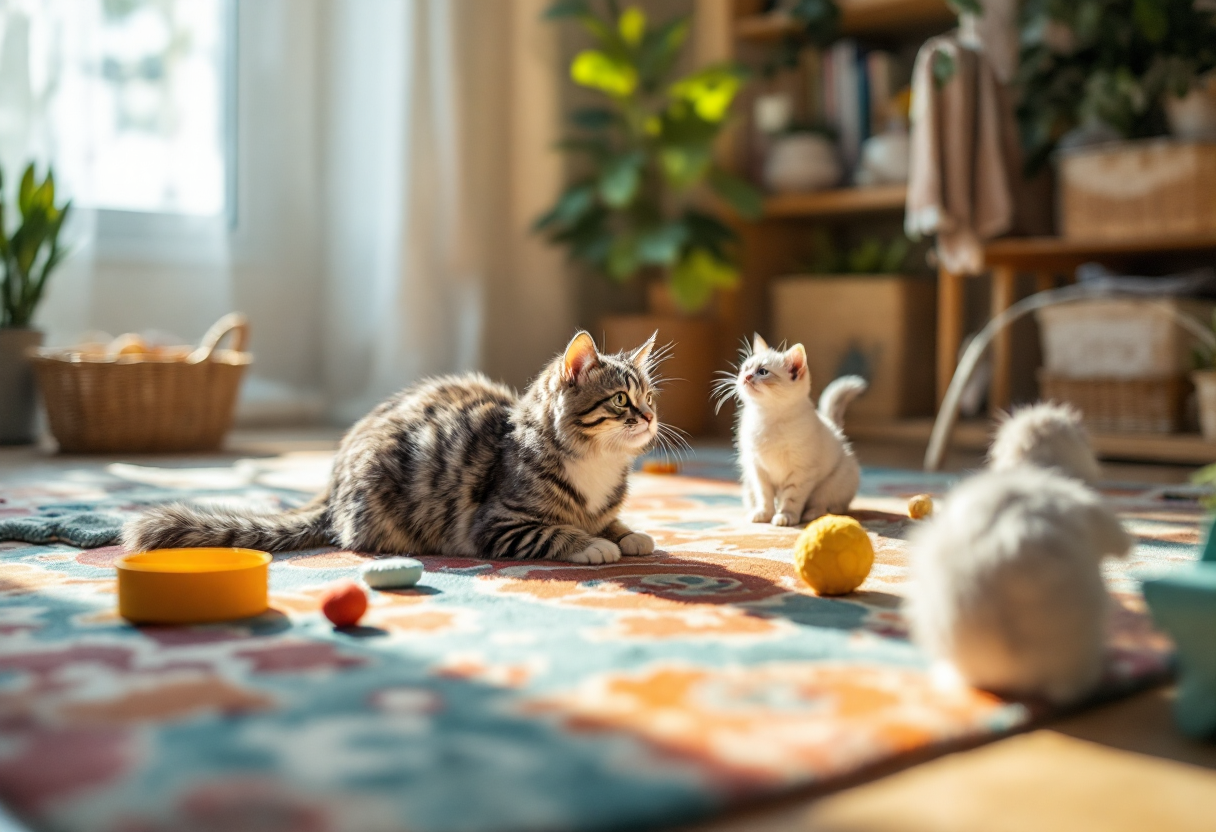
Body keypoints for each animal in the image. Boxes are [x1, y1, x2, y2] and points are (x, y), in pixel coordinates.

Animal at [123, 330, 666, 564]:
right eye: (621, 400)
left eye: (649, 397)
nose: (650, 417)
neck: (597, 464)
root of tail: (332, 491)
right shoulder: (500, 524)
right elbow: (557, 532)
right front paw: (591, 545)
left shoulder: (599, 506)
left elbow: (611, 521)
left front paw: (628, 535)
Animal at [719, 333, 865, 523]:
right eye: (744, 369)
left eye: (763, 371)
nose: (745, 377)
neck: (768, 419)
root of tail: (836, 428)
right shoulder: (758, 470)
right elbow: (764, 496)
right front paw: (764, 514)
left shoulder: (802, 472)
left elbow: (791, 498)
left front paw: (786, 516)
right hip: (748, 481)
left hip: (831, 484)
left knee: (833, 506)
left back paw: (812, 514)